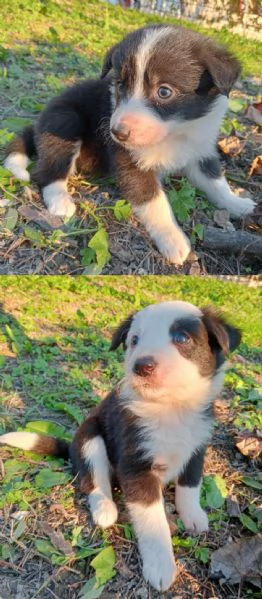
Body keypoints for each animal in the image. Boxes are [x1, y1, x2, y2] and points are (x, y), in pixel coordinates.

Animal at [0, 302, 242, 592]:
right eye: (134, 340)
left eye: (182, 338)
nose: (141, 366)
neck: (170, 409)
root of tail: (71, 448)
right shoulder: (135, 466)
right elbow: (153, 521)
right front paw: (160, 565)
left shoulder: (196, 447)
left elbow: (190, 485)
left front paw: (193, 515)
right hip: (90, 437)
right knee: (93, 481)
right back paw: (105, 509)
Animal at [3, 25, 255, 264]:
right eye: (121, 84)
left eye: (164, 91)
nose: (116, 132)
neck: (176, 133)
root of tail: (38, 123)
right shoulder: (130, 161)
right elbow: (154, 202)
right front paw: (172, 238)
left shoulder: (201, 150)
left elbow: (216, 182)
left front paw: (237, 204)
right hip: (64, 120)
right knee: (48, 170)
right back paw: (60, 200)